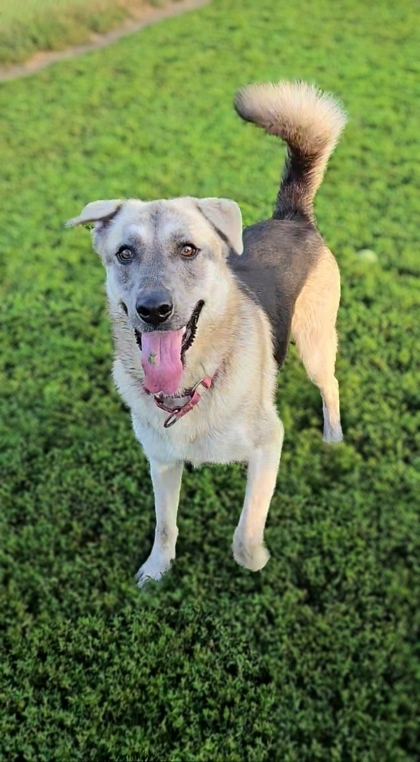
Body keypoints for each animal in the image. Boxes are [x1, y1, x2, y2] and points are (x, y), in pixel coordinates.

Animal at [67, 80, 346, 584]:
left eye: (189, 250)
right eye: (124, 253)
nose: (154, 310)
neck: (190, 389)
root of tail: (292, 217)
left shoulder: (269, 444)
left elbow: (245, 531)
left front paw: (257, 561)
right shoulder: (161, 462)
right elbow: (164, 525)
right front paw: (156, 571)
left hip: (316, 345)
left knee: (329, 385)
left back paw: (333, 439)